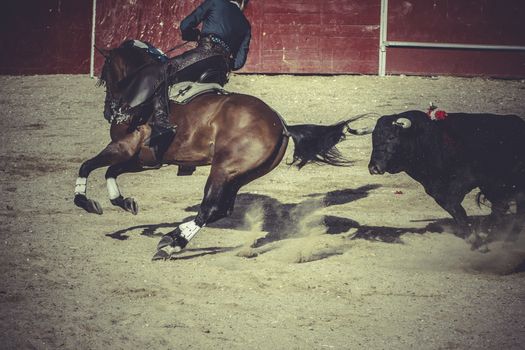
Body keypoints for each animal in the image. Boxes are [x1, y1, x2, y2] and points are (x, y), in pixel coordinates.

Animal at [74, 40, 368, 260]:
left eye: (105, 72)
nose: (109, 110)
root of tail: (281, 124)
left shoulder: (123, 147)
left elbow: (88, 165)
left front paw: (85, 201)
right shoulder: (144, 158)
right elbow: (111, 171)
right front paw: (124, 202)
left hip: (223, 169)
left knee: (210, 208)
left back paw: (171, 243)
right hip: (238, 175)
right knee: (221, 209)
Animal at [366, 110, 524, 250]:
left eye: (391, 137)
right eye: (373, 138)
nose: (374, 167)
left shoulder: (464, 180)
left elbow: (455, 205)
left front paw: (478, 238)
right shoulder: (435, 189)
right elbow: (453, 207)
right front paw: (475, 237)